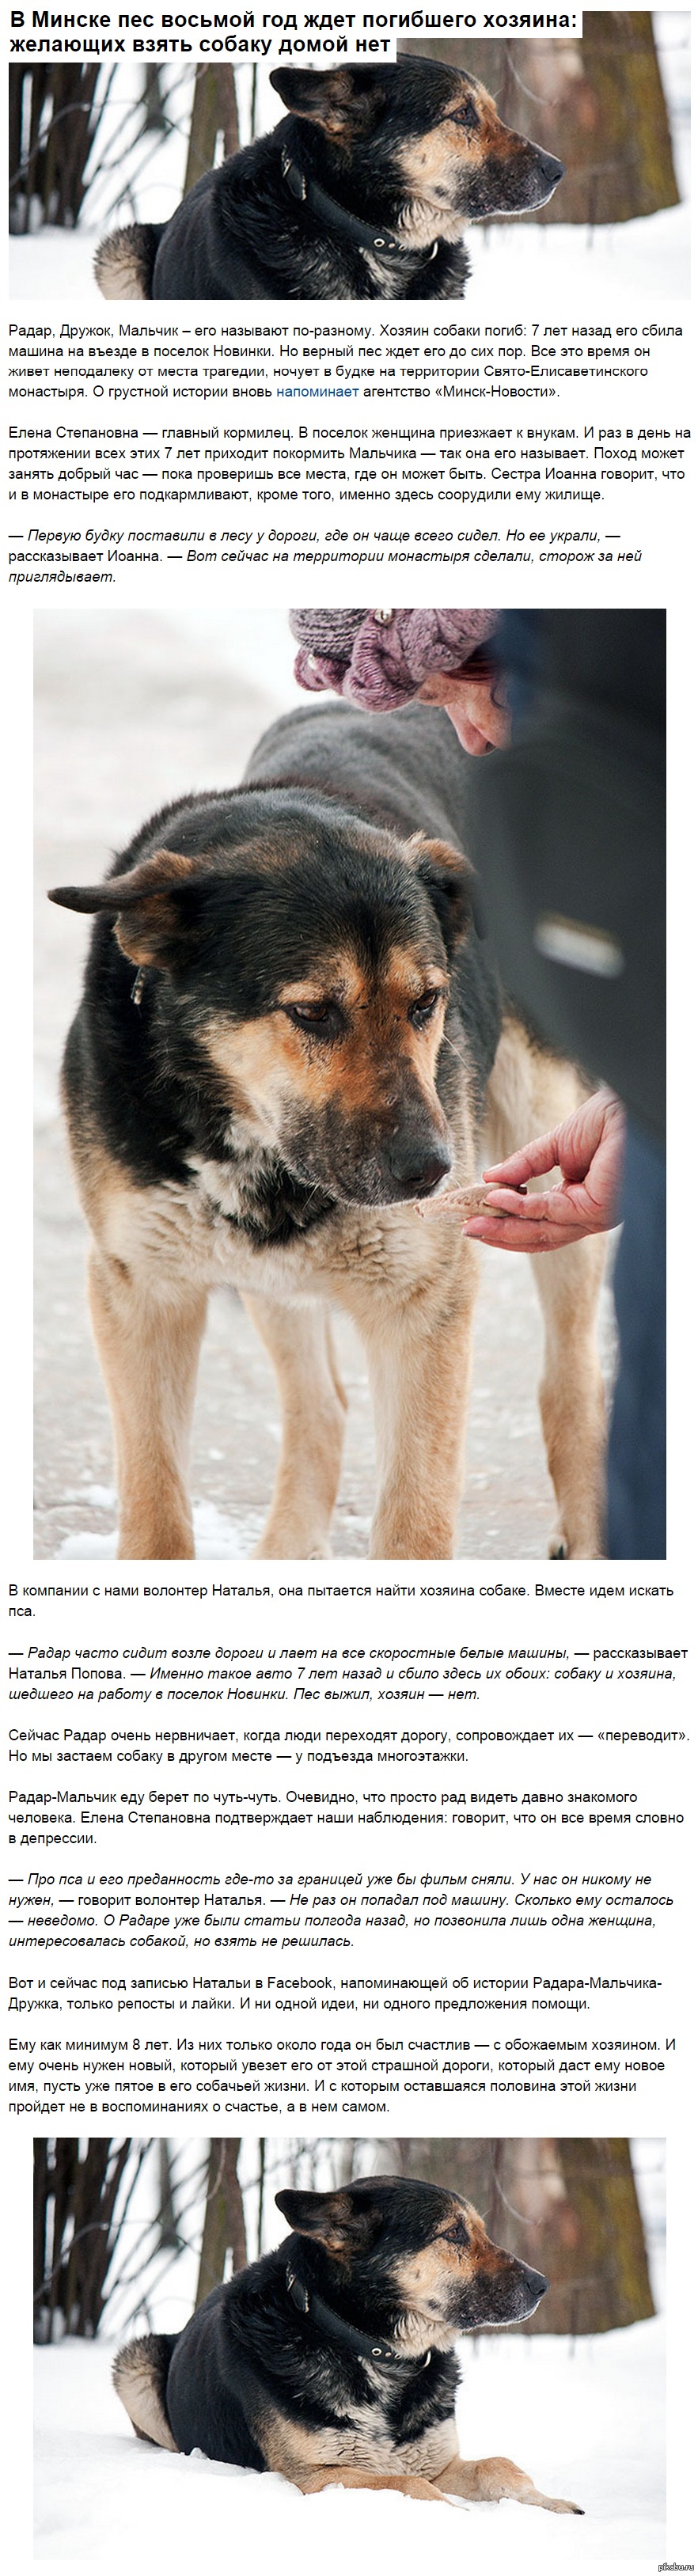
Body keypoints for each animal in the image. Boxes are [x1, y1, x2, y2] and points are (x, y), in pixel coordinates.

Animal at [49, 695, 608, 1556]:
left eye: (426, 1002)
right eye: (312, 1011)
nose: (431, 1171)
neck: (251, 1148)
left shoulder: (423, 1303)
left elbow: (414, 1521)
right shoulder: (143, 1289)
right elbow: (155, 1513)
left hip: (551, 1144)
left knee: (571, 1379)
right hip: (268, 1276)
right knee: (320, 1408)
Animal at [114, 2174, 582, 2513]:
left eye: (478, 2231)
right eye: (452, 2234)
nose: (542, 2286)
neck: (373, 2351)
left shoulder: (438, 2464)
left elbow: (499, 2466)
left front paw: (552, 2505)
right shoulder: (317, 2475)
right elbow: (412, 2484)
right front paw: (461, 2518)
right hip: (134, 2363)